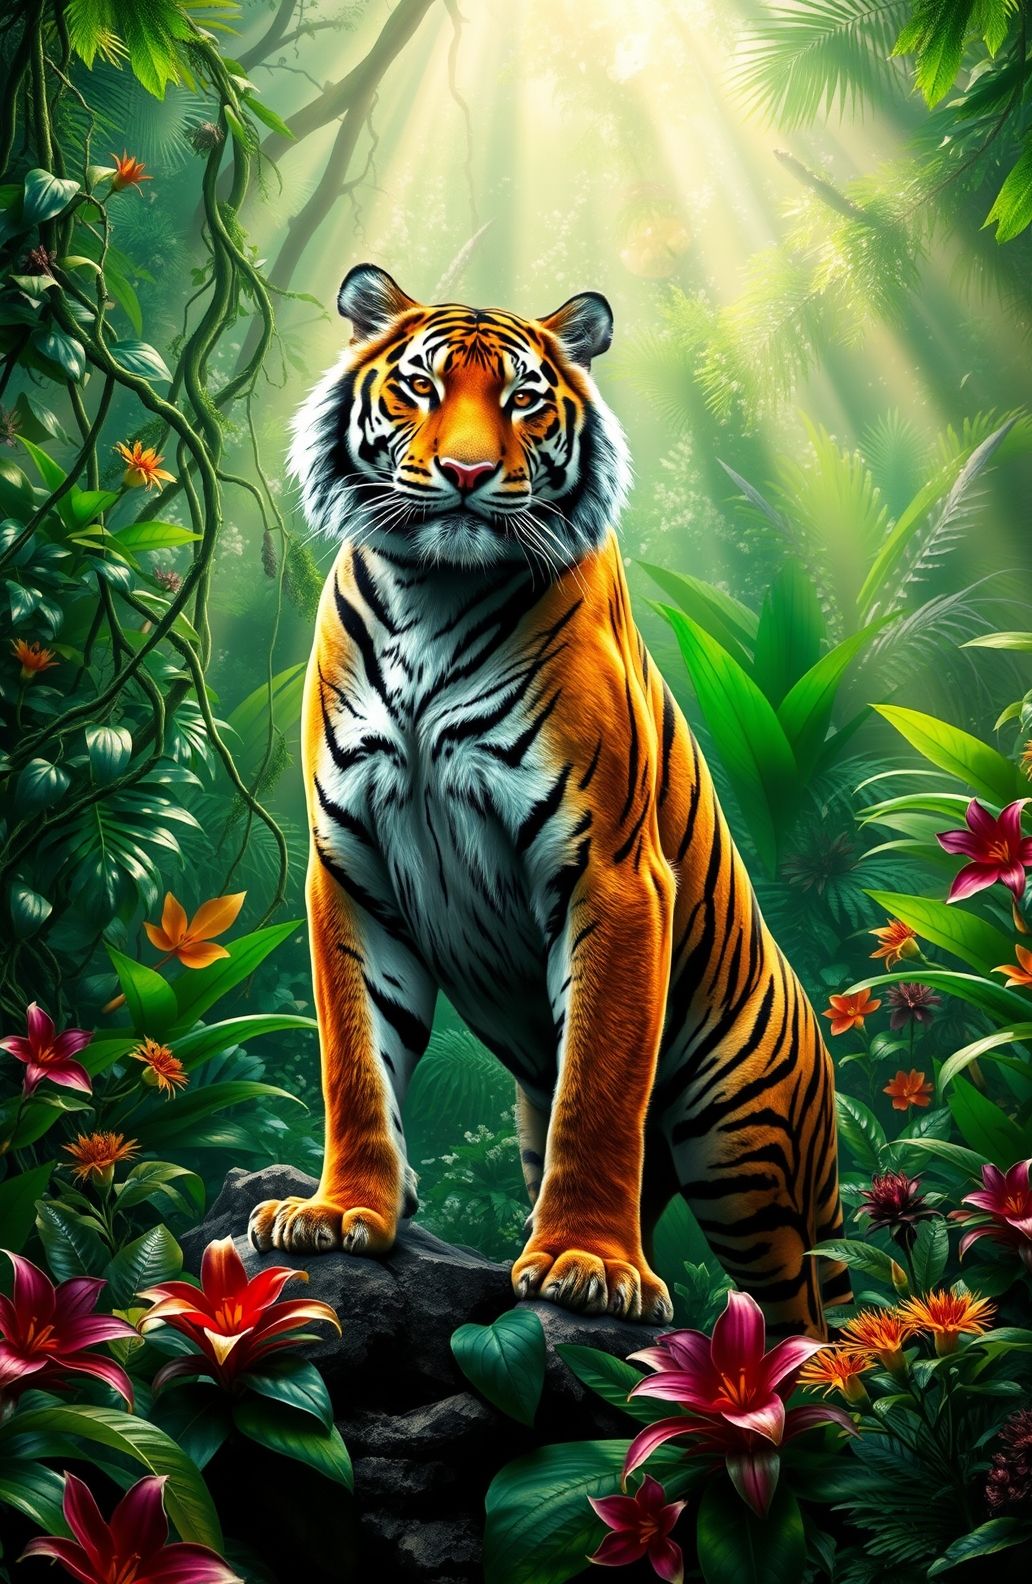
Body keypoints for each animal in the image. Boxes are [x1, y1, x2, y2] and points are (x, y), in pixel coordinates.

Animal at [246, 262, 851, 1338]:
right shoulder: (351, 868)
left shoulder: (610, 872)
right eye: (420, 387)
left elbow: (599, 1091)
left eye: (524, 399)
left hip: (747, 1157)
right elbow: (357, 1062)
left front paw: (587, 1266)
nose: (466, 473)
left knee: (806, 1320)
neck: (431, 600)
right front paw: (340, 1213)